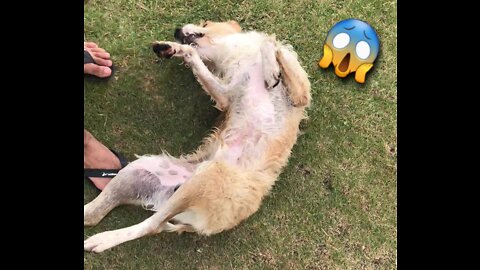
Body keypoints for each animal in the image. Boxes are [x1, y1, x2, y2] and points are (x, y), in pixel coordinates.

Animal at [83, 20, 312, 252]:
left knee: (150, 225)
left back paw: (102, 239)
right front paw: (171, 48)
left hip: (204, 177)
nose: (176, 30)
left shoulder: (300, 95)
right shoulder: (226, 97)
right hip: (138, 172)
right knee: (100, 215)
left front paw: (271, 67)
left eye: (205, 22)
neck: (239, 55)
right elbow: (194, 53)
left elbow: (269, 42)